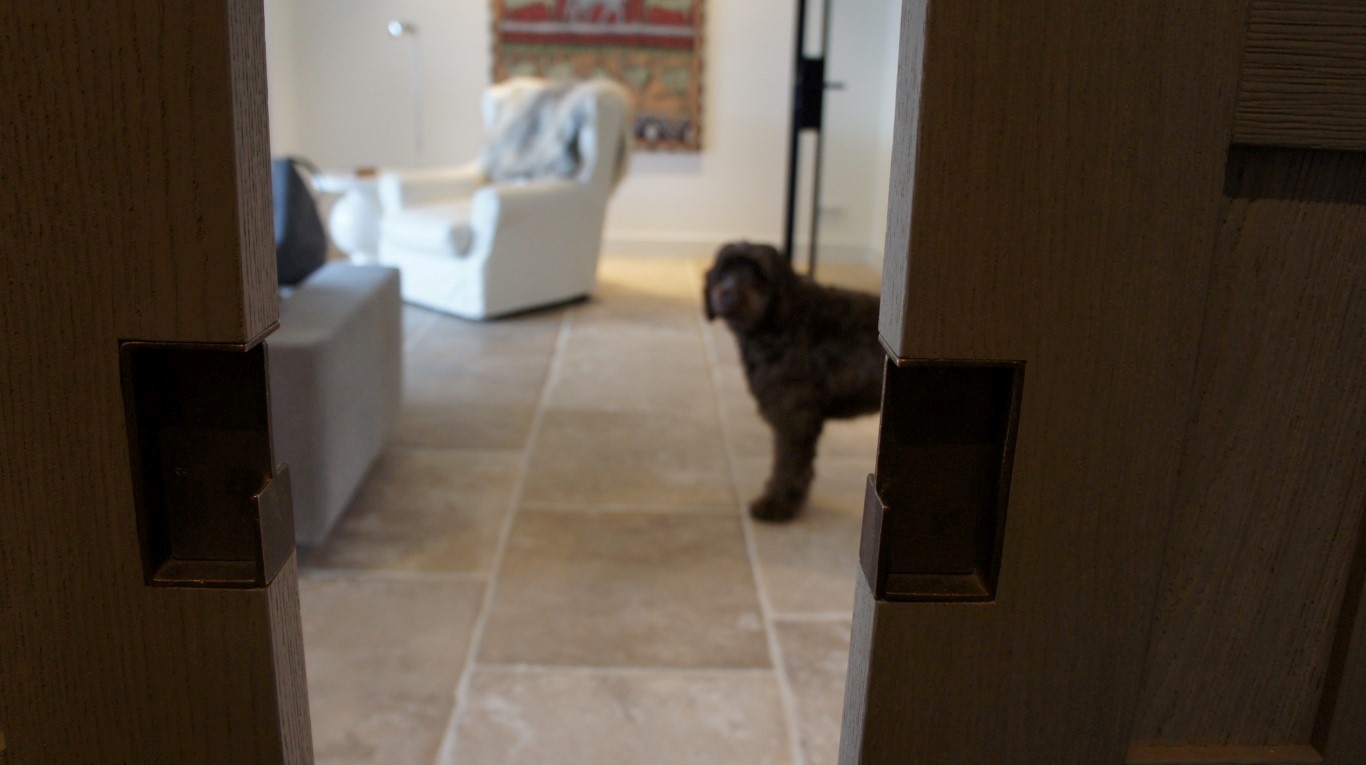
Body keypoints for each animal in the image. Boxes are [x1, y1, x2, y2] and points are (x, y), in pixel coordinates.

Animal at [704, 242, 884, 521]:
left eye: (760, 276)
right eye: (725, 271)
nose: (729, 294)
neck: (782, 322)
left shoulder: (794, 416)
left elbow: (788, 465)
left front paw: (776, 504)